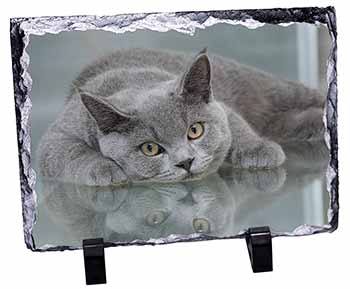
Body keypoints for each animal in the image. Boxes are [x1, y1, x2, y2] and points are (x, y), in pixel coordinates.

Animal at [37, 46, 324, 183]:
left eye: (195, 130)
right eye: (150, 148)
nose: (186, 162)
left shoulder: (222, 107)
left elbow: (236, 124)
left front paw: (257, 151)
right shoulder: (58, 135)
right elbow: (70, 151)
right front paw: (105, 170)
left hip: (269, 87)